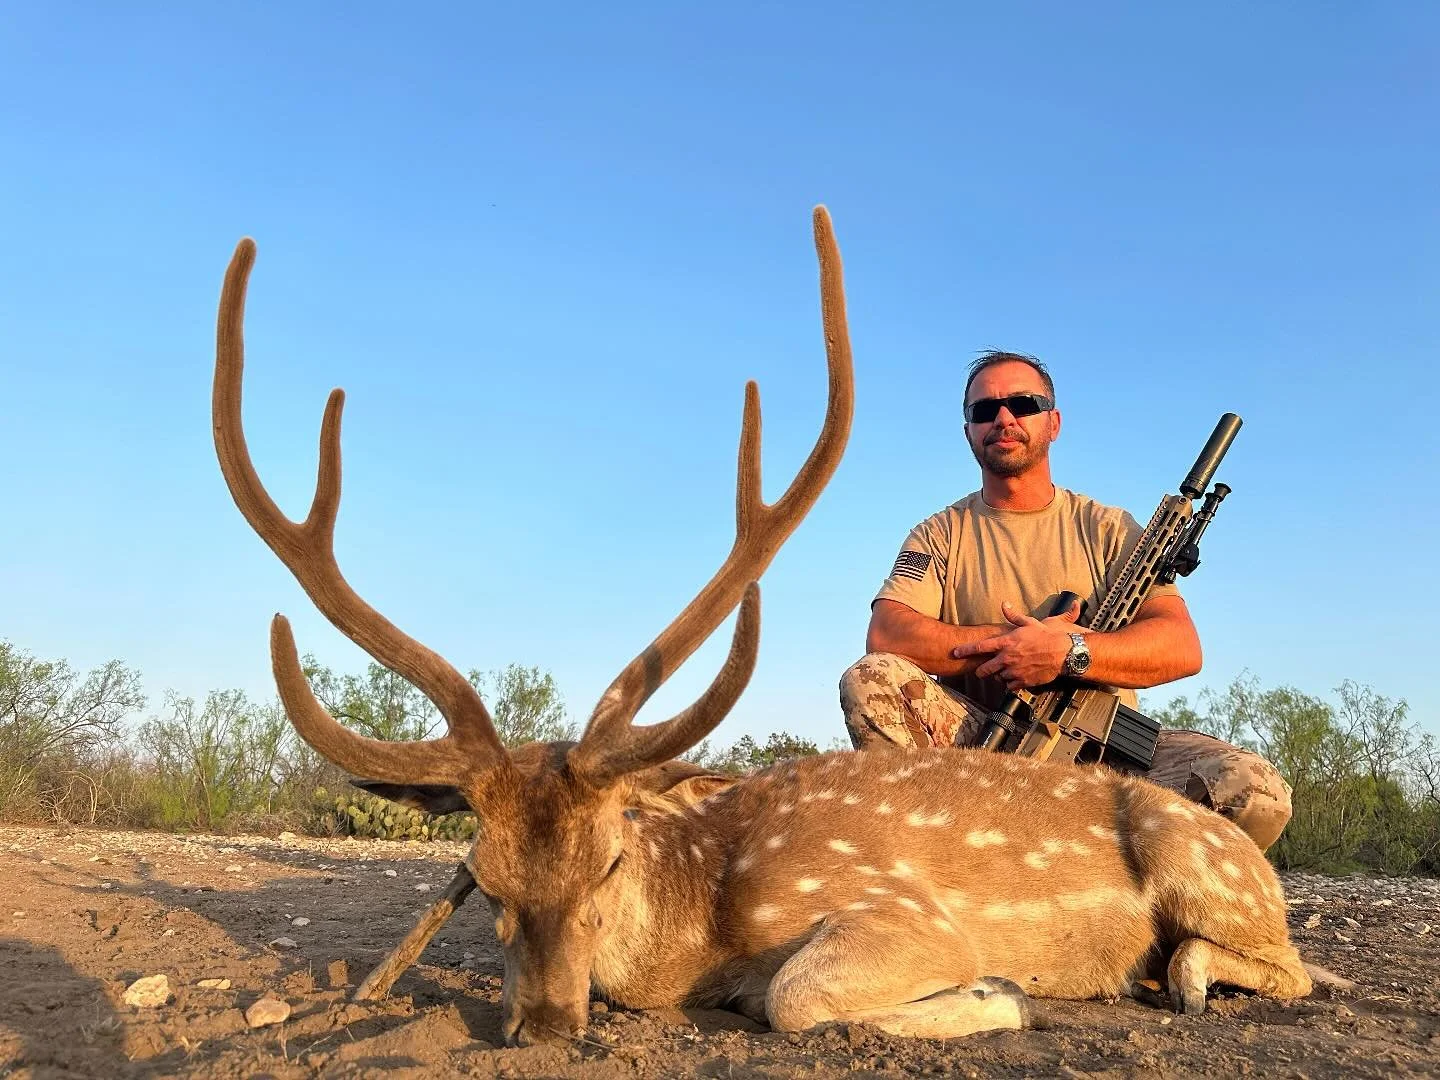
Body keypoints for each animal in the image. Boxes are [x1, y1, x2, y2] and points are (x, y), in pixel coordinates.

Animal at [212, 207, 1315, 1048]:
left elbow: (797, 994)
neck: (703, 926)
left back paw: (1177, 971)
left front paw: (999, 992)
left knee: (1289, 965)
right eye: (481, 878)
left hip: (1207, 866)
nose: (545, 1026)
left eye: (611, 859)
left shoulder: (903, 911)